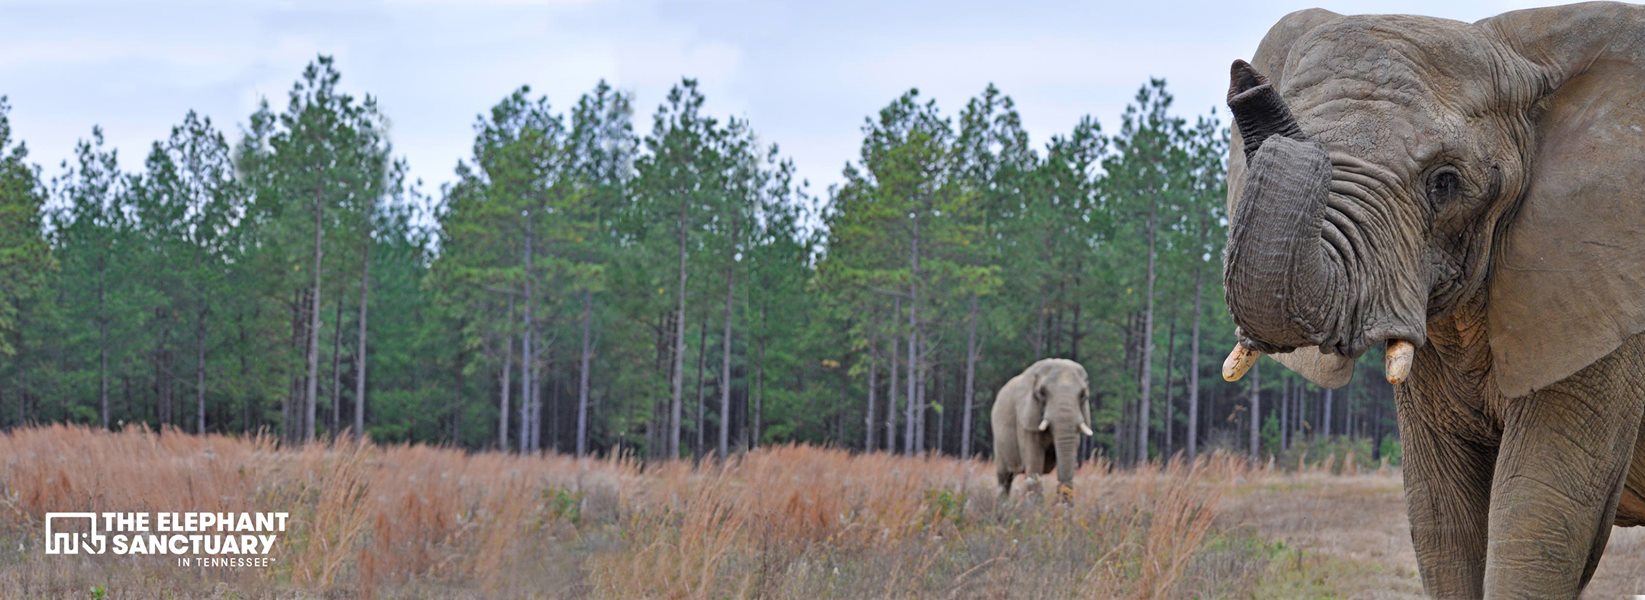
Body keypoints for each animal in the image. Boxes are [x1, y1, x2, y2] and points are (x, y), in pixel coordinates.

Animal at [991, 358, 1094, 503]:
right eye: (1042, 393)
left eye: (1083, 395)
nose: (1057, 503)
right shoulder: (1026, 418)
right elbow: (1034, 464)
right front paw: (1036, 508)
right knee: (1005, 478)